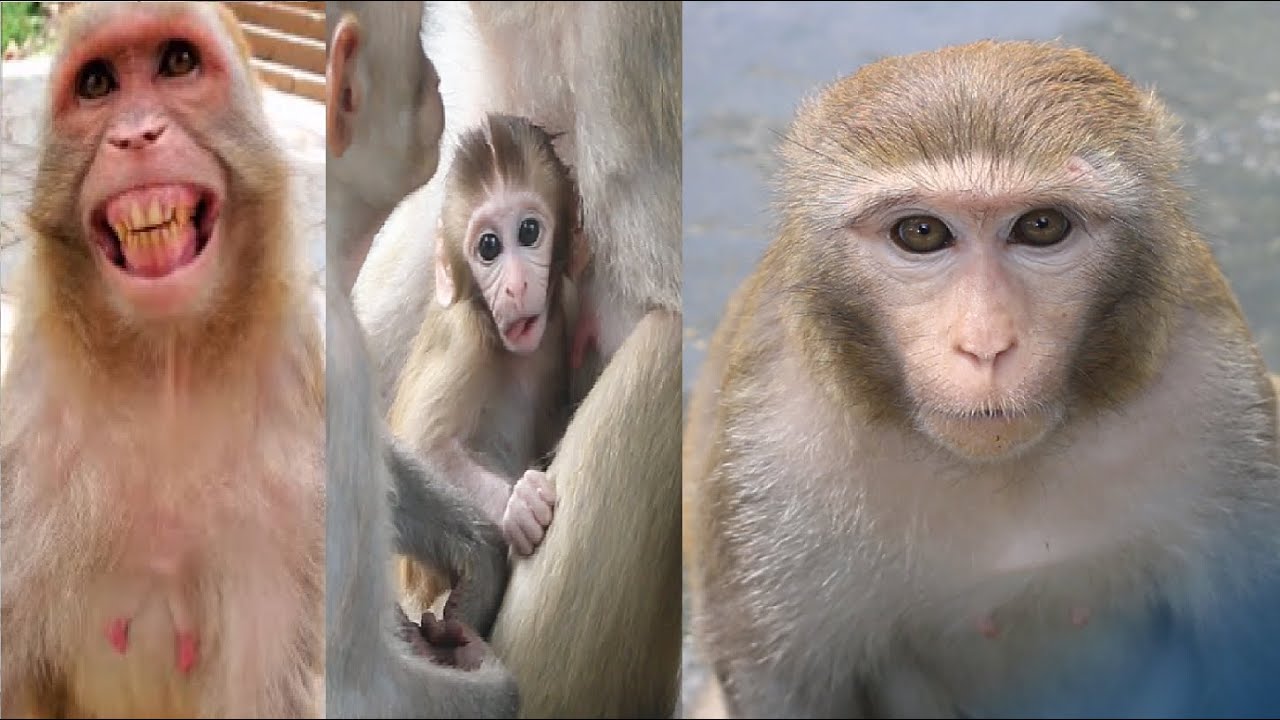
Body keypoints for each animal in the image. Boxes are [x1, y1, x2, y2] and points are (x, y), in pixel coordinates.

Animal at [0, 2, 325, 716]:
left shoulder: (301, 479)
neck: (167, 363)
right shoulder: (22, 437)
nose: (136, 135)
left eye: (177, 62)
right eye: (97, 84)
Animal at [389, 112, 586, 619]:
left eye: (529, 232)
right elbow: (424, 445)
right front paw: (518, 505)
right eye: (489, 247)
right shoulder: (465, 344)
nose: (515, 286)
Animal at [682, 39, 1280, 718]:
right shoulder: (769, 447)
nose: (986, 344)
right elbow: (781, 683)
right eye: (922, 232)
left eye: (1041, 226)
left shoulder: (1220, 401)